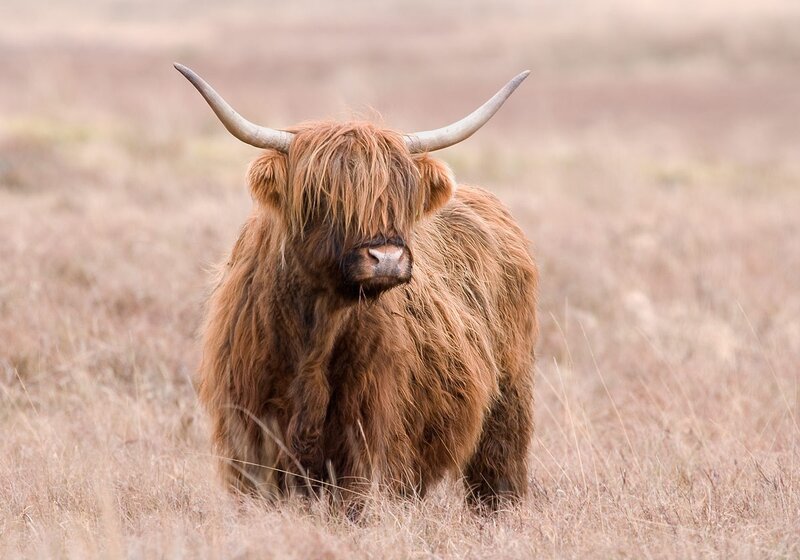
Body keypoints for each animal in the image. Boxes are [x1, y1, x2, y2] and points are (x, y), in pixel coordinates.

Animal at [175, 63, 538, 511]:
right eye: (323, 196)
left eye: (401, 196)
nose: (387, 258)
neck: (315, 332)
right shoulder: (249, 440)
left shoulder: (367, 445)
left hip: (509, 403)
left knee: (497, 475)